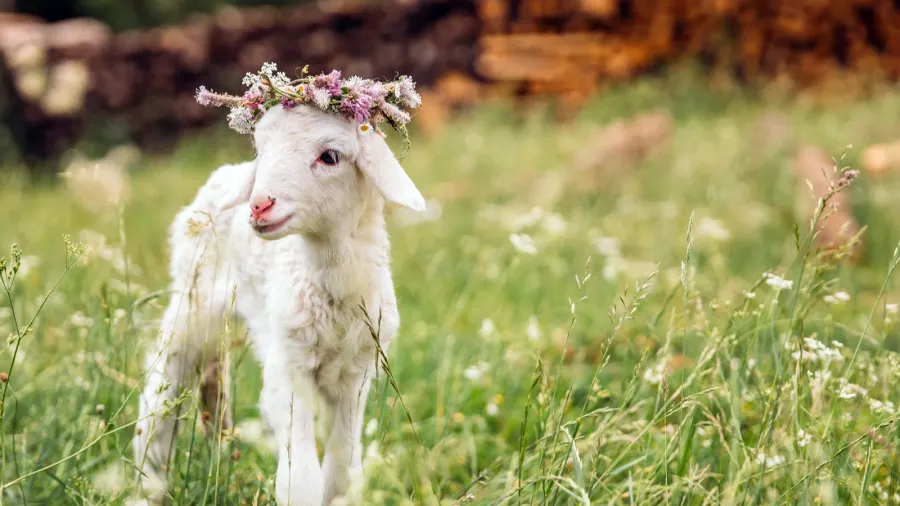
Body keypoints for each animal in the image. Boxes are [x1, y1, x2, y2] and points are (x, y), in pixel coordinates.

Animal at [131, 94, 425, 505]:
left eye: (330, 156)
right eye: (261, 148)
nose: (258, 205)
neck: (333, 286)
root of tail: (224, 173)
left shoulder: (357, 372)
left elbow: (343, 471)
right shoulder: (289, 364)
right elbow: (300, 476)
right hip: (191, 296)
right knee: (161, 390)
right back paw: (148, 483)